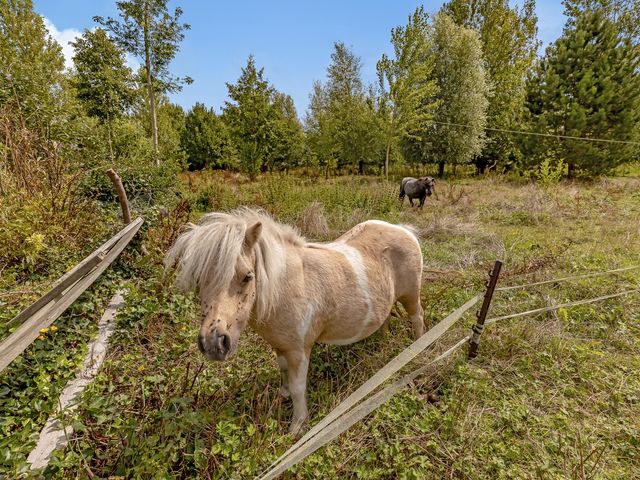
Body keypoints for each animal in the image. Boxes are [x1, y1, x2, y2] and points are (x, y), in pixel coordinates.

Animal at [165, 206, 424, 436]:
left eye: (247, 276)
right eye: (199, 278)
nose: (214, 344)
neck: (287, 287)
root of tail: (404, 230)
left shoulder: (299, 350)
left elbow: (300, 388)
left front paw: (298, 426)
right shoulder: (280, 346)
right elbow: (283, 371)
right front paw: (283, 394)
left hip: (411, 297)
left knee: (418, 318)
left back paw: (417, 349)